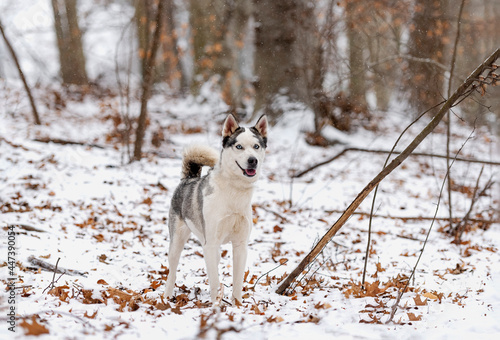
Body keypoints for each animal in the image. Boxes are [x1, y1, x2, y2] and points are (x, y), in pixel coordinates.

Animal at [164, 113, 268, 302]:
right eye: (239, 146)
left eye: (256, 146)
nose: (253, 160)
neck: (234, 191)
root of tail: (188, 179)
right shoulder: (210, 244)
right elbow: (214, 282)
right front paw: (215, 305)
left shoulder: (240, 245)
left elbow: (237, 282)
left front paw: (237, 305)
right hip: (177, 243)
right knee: (172, 273)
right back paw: (166, 297)